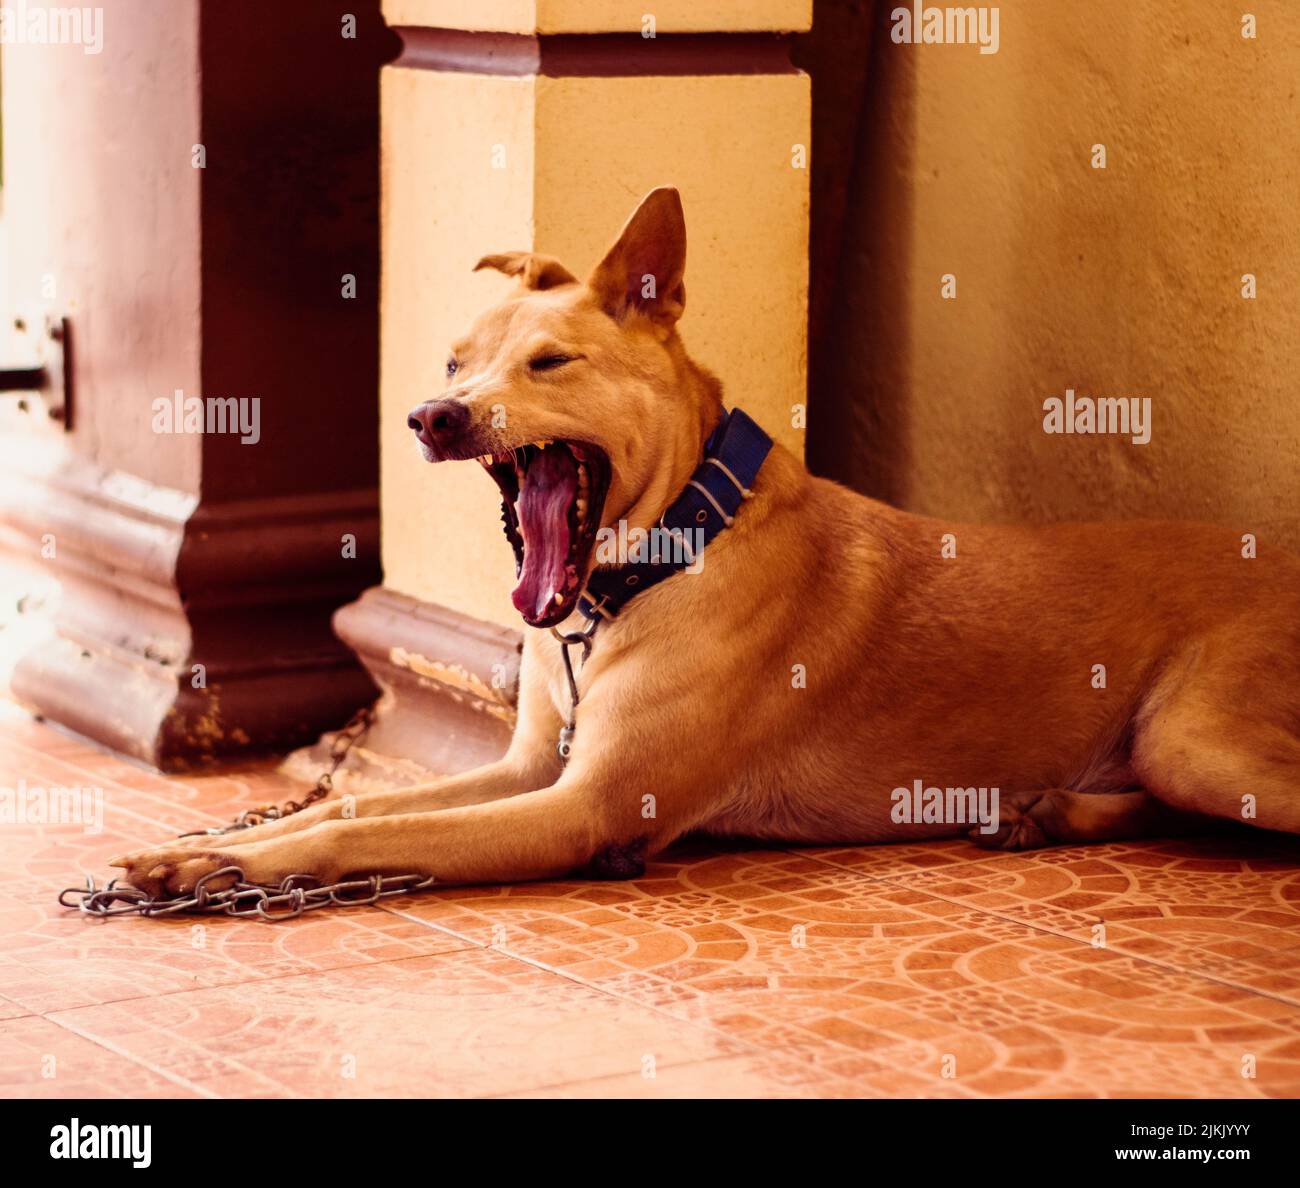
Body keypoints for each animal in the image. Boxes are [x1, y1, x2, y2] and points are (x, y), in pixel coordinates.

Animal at [111, 184, 1300, 894]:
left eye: (549, 364)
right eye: (454, 362)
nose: (432, 417)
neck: (651, 569)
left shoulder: (581, 807)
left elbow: (358, 830)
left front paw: (235, 868)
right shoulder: (532, 766)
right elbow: (364, 795)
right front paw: (204, 851)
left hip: (1196, 735)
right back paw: (1050, 809)